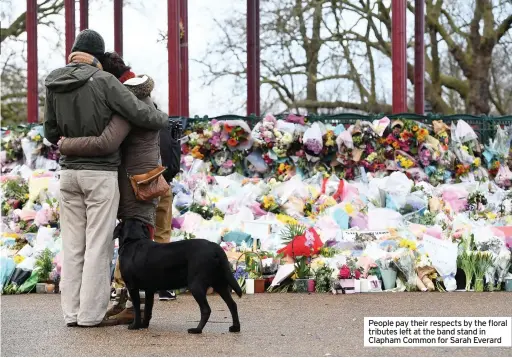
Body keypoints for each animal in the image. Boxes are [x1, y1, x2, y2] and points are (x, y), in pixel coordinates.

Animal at [115, 218, 243, 332]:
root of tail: (214, 246)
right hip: (220, 283)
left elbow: (137, 308)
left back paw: (197, 330)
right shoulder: (149, 289)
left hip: (196, 285)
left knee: (206, 309)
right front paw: (144, 325)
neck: (133, 240)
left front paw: (134, 326)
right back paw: (235, 327)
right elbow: (147, 309)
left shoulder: (132, 286)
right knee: (232, 304)